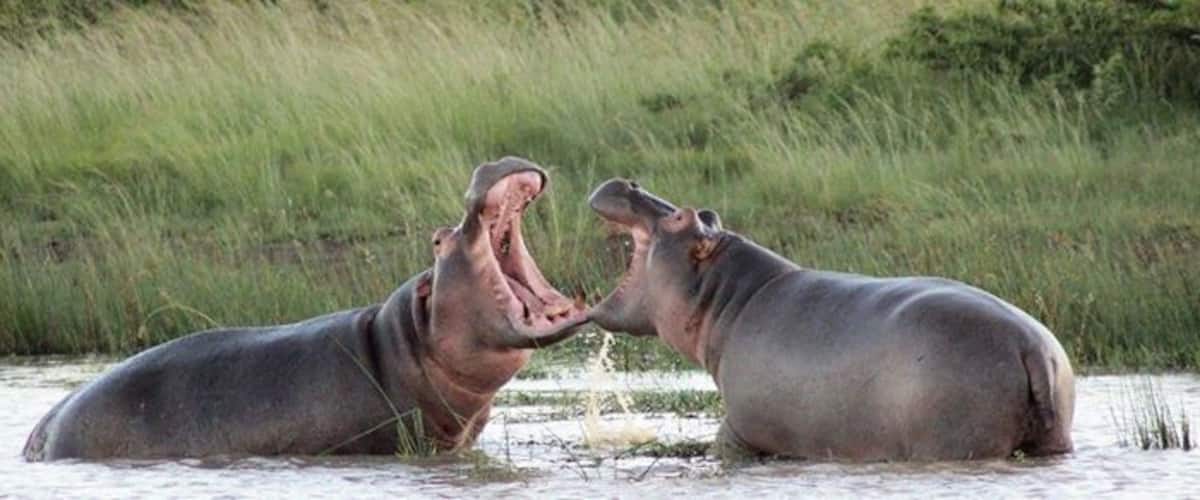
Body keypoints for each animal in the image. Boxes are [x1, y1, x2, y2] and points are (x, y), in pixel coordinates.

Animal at [586, 178, 1075, 461]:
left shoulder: (740, 428)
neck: (727, 297)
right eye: (706, 214)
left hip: (957, 438)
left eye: (681, 217)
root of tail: (1031, 348)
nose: (629, 181)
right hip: (1052, 435)